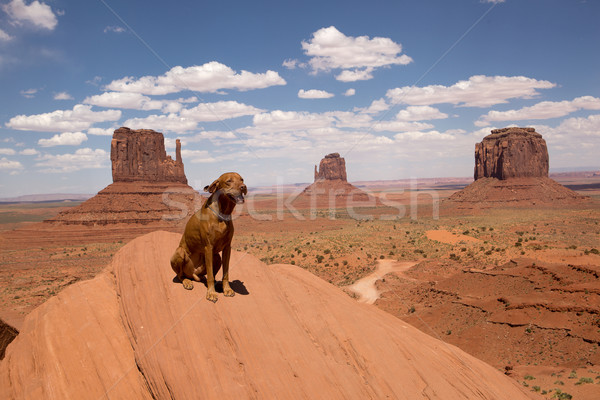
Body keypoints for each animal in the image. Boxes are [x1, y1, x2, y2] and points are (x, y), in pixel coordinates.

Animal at [171, 170, 246, 302]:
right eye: (229, 181)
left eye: (242, 180)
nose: (244, 187)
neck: (222, 214)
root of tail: (194, 274)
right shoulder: (208, 247)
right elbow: (210, 275)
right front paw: (211, 293)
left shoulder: (227, 248)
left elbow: (225, 273)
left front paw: (227, 289)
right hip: (180, 254)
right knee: (180, 275)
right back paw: (187, 282)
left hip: (216, 257)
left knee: (210, 275)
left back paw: (217, 284)